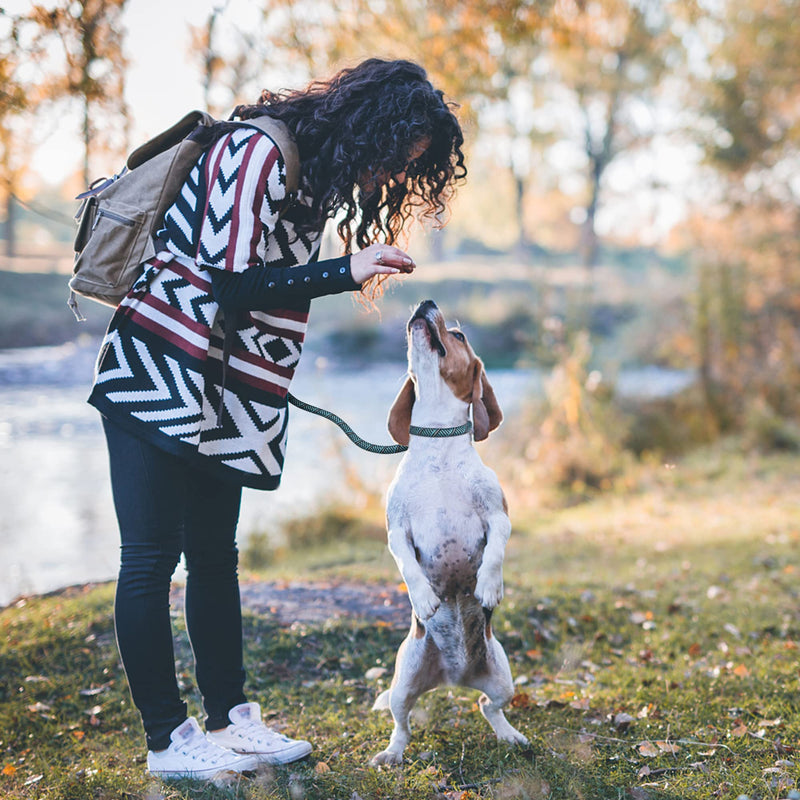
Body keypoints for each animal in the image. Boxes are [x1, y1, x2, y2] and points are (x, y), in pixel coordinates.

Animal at [372, 296, 528, 764]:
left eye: (458, 335)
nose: (426, 302)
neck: (438, 440)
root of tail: (455, 677)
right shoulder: (396, 532)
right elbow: (408, 566)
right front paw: (424, 598)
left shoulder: (498, 516)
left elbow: (495, 549)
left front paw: (489, 586)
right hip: (403, 682)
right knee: (402, 725)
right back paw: (392, 754)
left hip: (503, 678)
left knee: (488, 707)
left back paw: (510, 734)